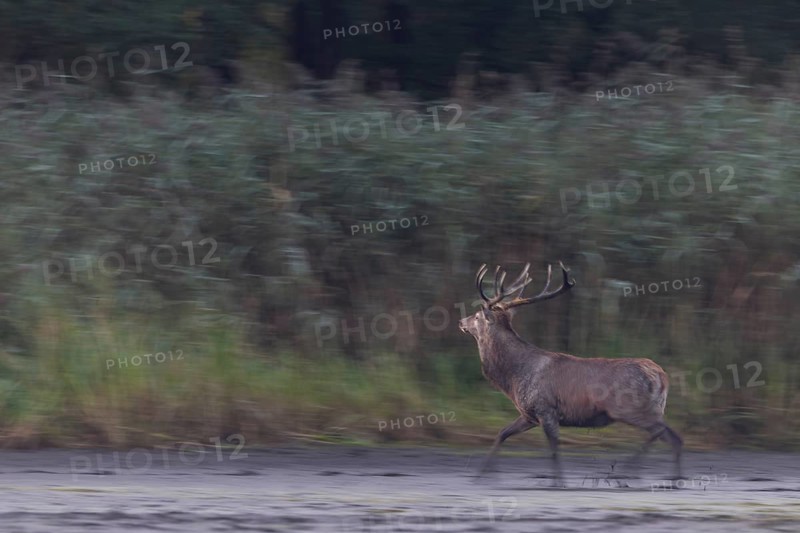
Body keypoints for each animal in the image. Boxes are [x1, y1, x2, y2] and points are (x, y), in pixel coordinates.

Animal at [458, 261, 683, 485]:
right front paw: (481, 474)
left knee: (661, 432)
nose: (461, 321)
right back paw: (672, 477)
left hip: (628, 408)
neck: (513, 377)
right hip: (654, 408)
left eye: (477, 316)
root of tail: (661, 376)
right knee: (673, 436)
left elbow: (554, 449)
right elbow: (502, 433)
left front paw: (559, 481)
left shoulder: (546, 408)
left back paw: (629, 470)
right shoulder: (529, 414)